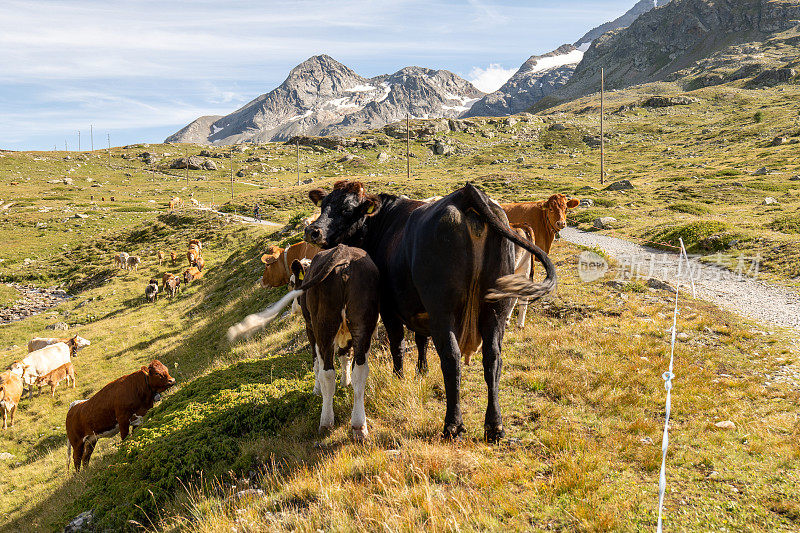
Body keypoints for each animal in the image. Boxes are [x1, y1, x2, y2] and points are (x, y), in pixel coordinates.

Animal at [228, 244, 382, 436]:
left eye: (293, 283)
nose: (294, 308)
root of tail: (343, 253)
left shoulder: (310, 329)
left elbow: (316, 363)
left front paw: (317, 389)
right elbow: (345, 356)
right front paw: (345, 382)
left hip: (323, 327)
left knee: (327, 372)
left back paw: (326, 421)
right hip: (362, 324)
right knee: (360, 371)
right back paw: (359, 424)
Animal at [302, 182, 556, 440]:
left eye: (346, 209)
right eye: (324, 205)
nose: (313, 231)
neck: (382, 224)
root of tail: (465, 194)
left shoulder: (390, 308)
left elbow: (398, 345)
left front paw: (399, 377)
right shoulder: (419, 309)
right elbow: (421, 340)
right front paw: (421, 372)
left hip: (443, 310)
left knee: (451, 358)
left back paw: (453, 425)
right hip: (496, 309)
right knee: (493, 358)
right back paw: (494, 426)